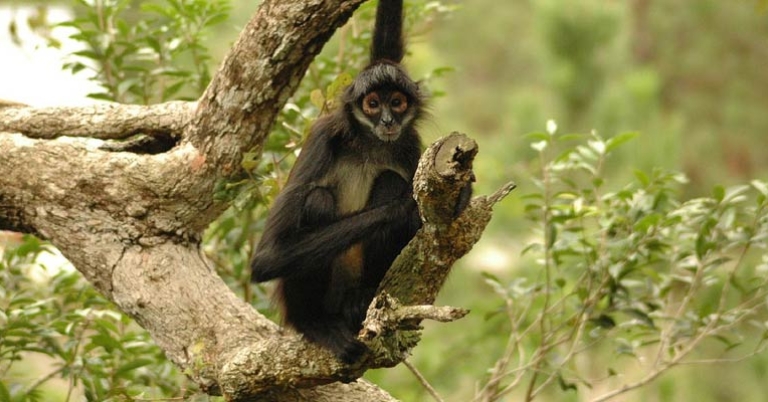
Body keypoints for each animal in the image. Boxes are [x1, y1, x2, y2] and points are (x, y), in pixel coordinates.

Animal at [250, 0, 469, 363]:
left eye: (397, 102)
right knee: (317, 199)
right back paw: (315, 324)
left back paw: (360, 299)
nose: (387, 120)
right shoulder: (324, 134)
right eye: (372, 104)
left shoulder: (411, 145)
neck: (371, 144)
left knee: (388, 180)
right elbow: (267, 257)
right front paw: (405, 207)